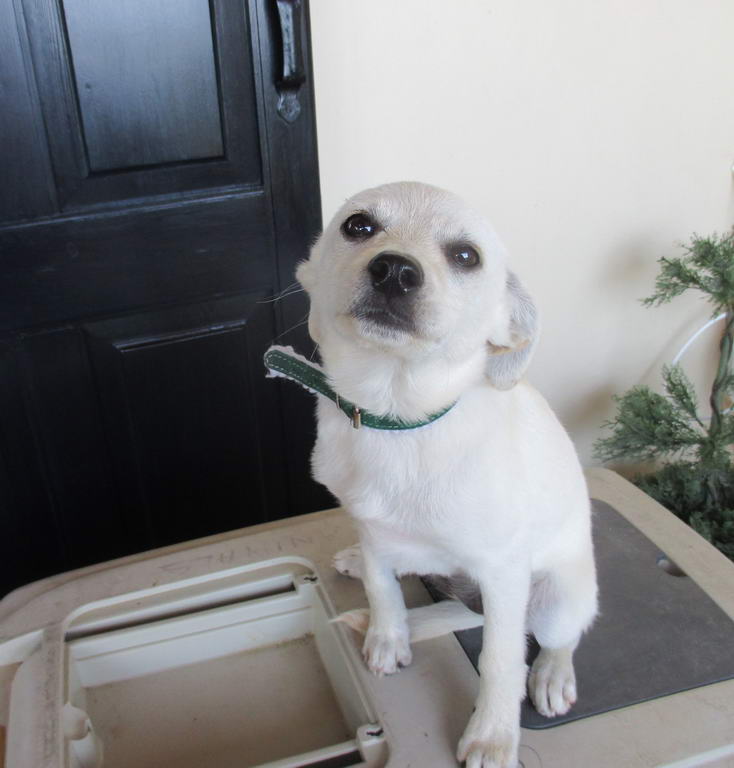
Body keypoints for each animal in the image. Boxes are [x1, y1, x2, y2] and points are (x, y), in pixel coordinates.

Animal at [294, 182, 597, 768]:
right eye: (358, 226)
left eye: (465, 256)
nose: (394, 270)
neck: (398, 421)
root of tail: (466, 603)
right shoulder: (370, 524)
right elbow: (382, 587)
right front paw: (388, 637)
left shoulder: (503, 571)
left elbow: (501, 661)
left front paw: (493, 736)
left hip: (555, 599)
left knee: (559, 637)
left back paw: (553, 675)